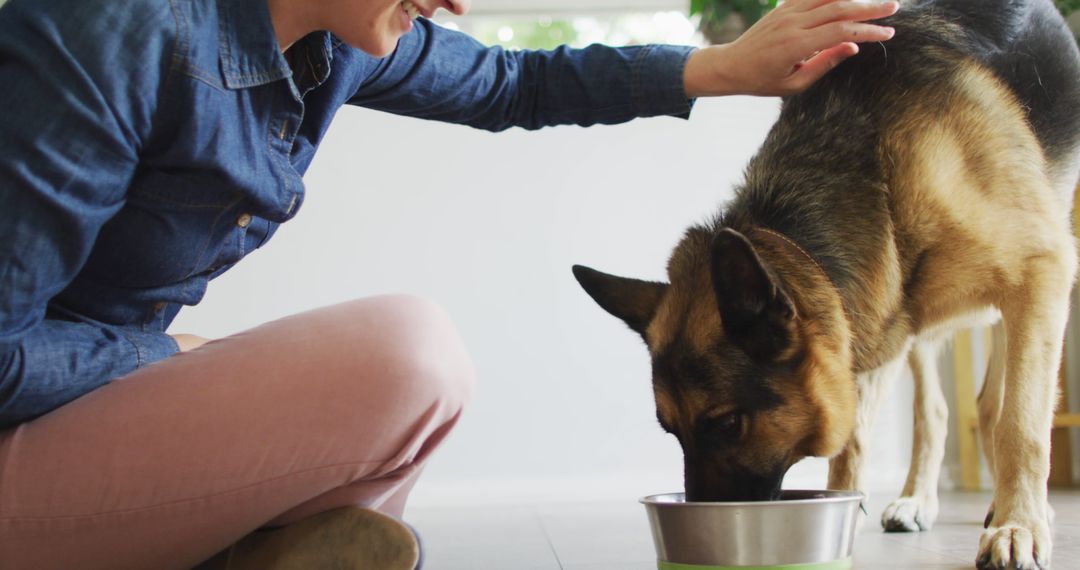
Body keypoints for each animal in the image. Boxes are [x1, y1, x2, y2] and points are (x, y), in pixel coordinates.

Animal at [583, 1, 1080, 565]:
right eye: (672, 430)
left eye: (727, 423)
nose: (704, 521)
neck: (878, 165)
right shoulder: (870, 322)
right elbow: (856, 439)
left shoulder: (1041, 272)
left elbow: (1021, 423)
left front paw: (1020, 523)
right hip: (909, 316)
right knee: (935, 409)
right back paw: (919, 498)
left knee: (998, 404)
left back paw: (1015, 508)